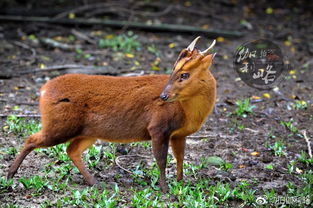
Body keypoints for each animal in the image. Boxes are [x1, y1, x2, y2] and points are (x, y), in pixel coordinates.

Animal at [7, 36, 217, 192]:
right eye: (174, 71)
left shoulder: (178, 134)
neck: (187, 111)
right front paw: (165, 189)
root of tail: (43, 91)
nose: (163, 96)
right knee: (32, 139)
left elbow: (180, 159)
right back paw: (10, 174)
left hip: (87, 132)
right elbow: (161, 160)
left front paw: (181, 183)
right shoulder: (158, 127)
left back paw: (95, 182)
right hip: (59, 125)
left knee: (71, 150)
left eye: (184, 74)